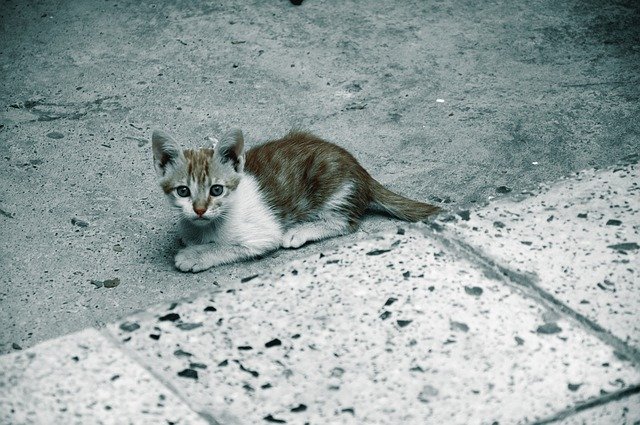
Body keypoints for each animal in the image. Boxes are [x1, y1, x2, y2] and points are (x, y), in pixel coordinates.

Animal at [151, 127, 440, 272]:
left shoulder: (262, 235)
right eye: (183, 191)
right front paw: (190, 236)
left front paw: (195, 255)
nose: (199, 210)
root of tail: (360, 170)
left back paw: (300, 231)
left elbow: (226, 247)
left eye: (217, 190)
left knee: (344, 222)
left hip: (331, 185)